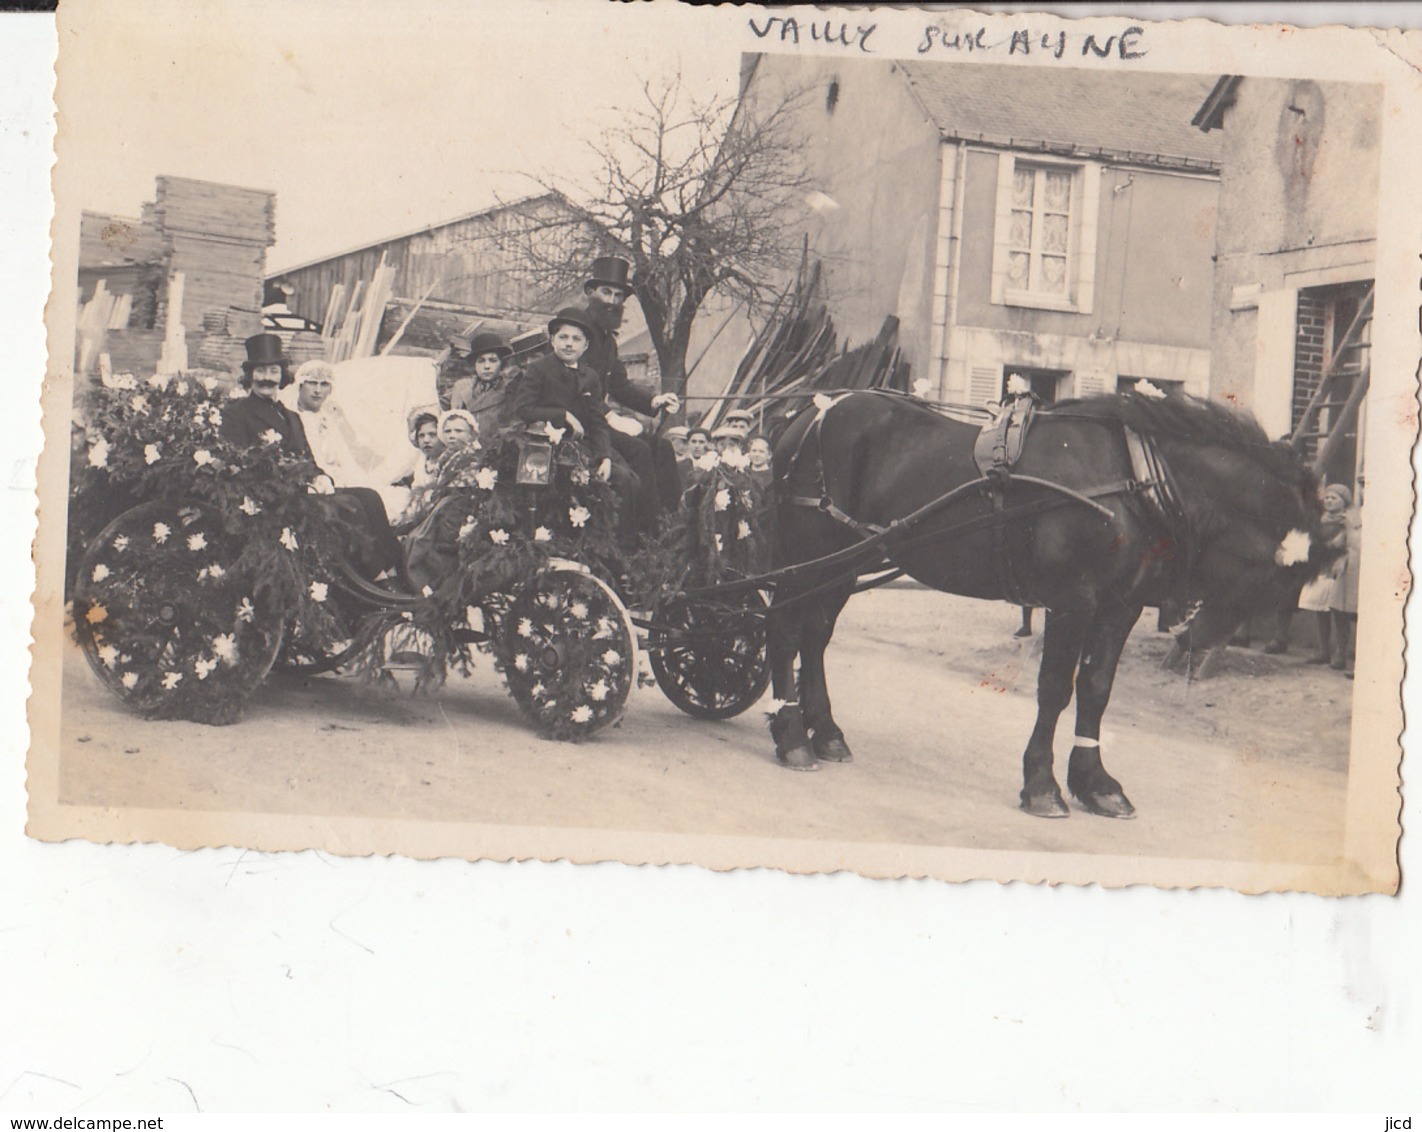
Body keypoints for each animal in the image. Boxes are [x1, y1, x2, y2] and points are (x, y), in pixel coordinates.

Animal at [767, 389, 1330, 813]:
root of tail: (811, 413)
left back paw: (824, 731)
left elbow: (1097, 690)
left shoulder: (1119, 607)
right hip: (808, 557)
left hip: (844, 565)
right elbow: (1056, 689)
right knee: (784, 629)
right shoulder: (1072, 600)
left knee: (814, 638)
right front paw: (1041, 784)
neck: (1133, 474)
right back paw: (791, 733)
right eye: (1282, 576)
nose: (1192, 641)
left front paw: (1096, 782)